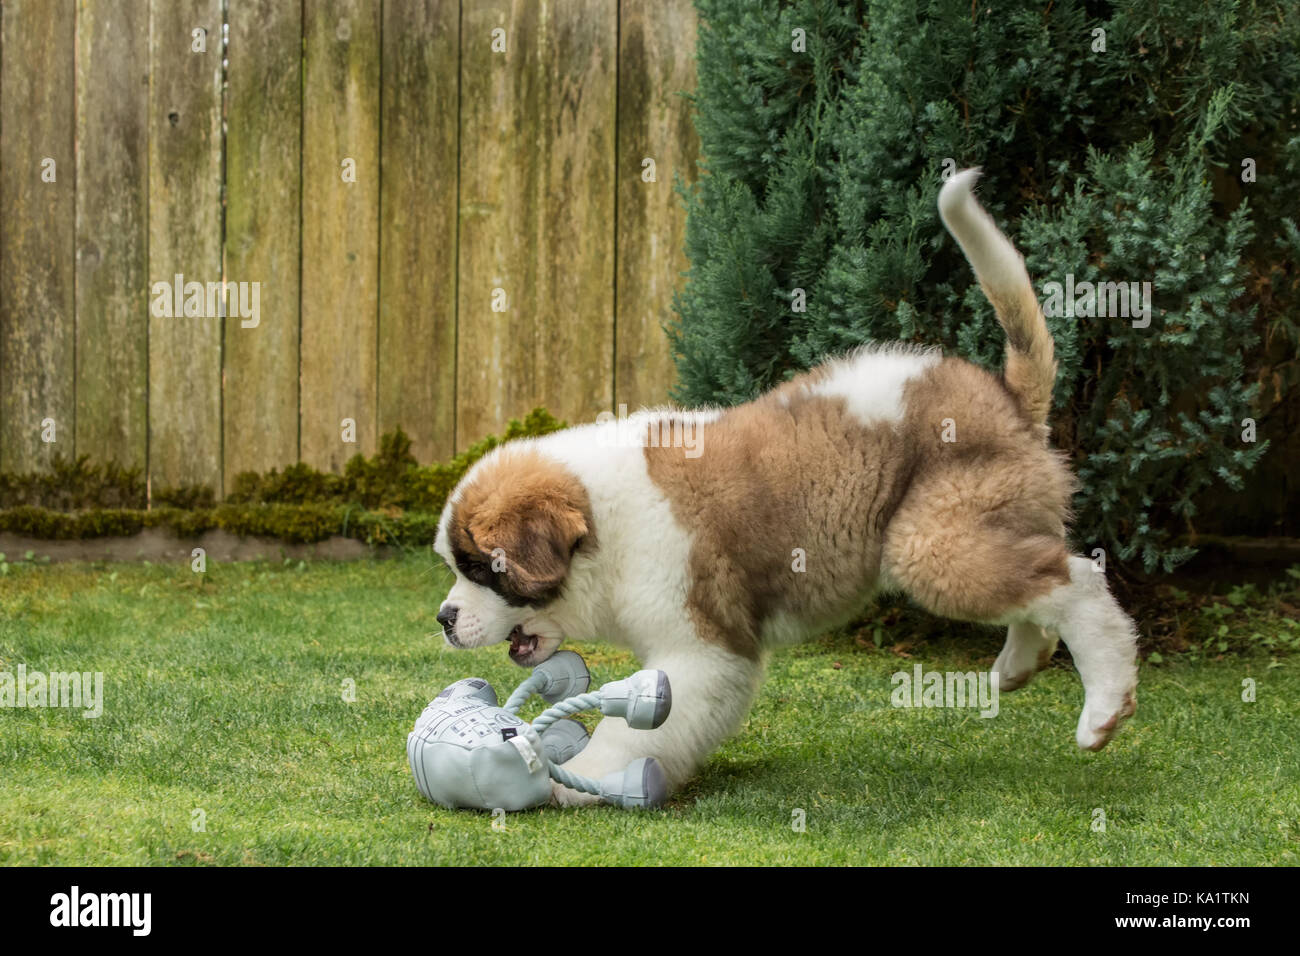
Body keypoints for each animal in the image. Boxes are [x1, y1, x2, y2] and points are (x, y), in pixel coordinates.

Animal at [434, 170, 1138, 806]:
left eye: (483, 568)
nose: (443, 619)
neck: (605, 526)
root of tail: (1006, 399)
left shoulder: (701, 649)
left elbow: (630, 732)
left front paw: (575, 778)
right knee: (1038, 575)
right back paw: (1021, 663)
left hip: (929, 539)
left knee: (1077, 579)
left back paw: (1102, 708)